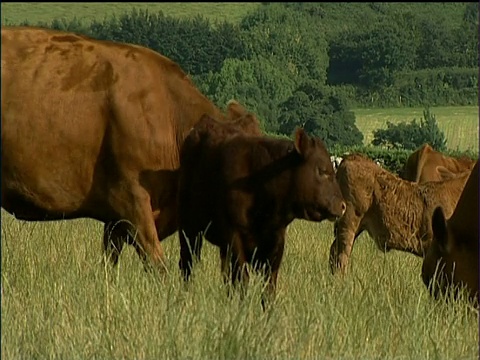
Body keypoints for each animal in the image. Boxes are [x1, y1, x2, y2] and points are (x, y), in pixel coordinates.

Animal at [178, 128, 346, 306]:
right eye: (322, 170)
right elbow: (242, 279)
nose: (343, 206)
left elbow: (269, 284)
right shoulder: (234, 236)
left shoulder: (276, 240)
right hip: (188, 230)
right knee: (188, 264)